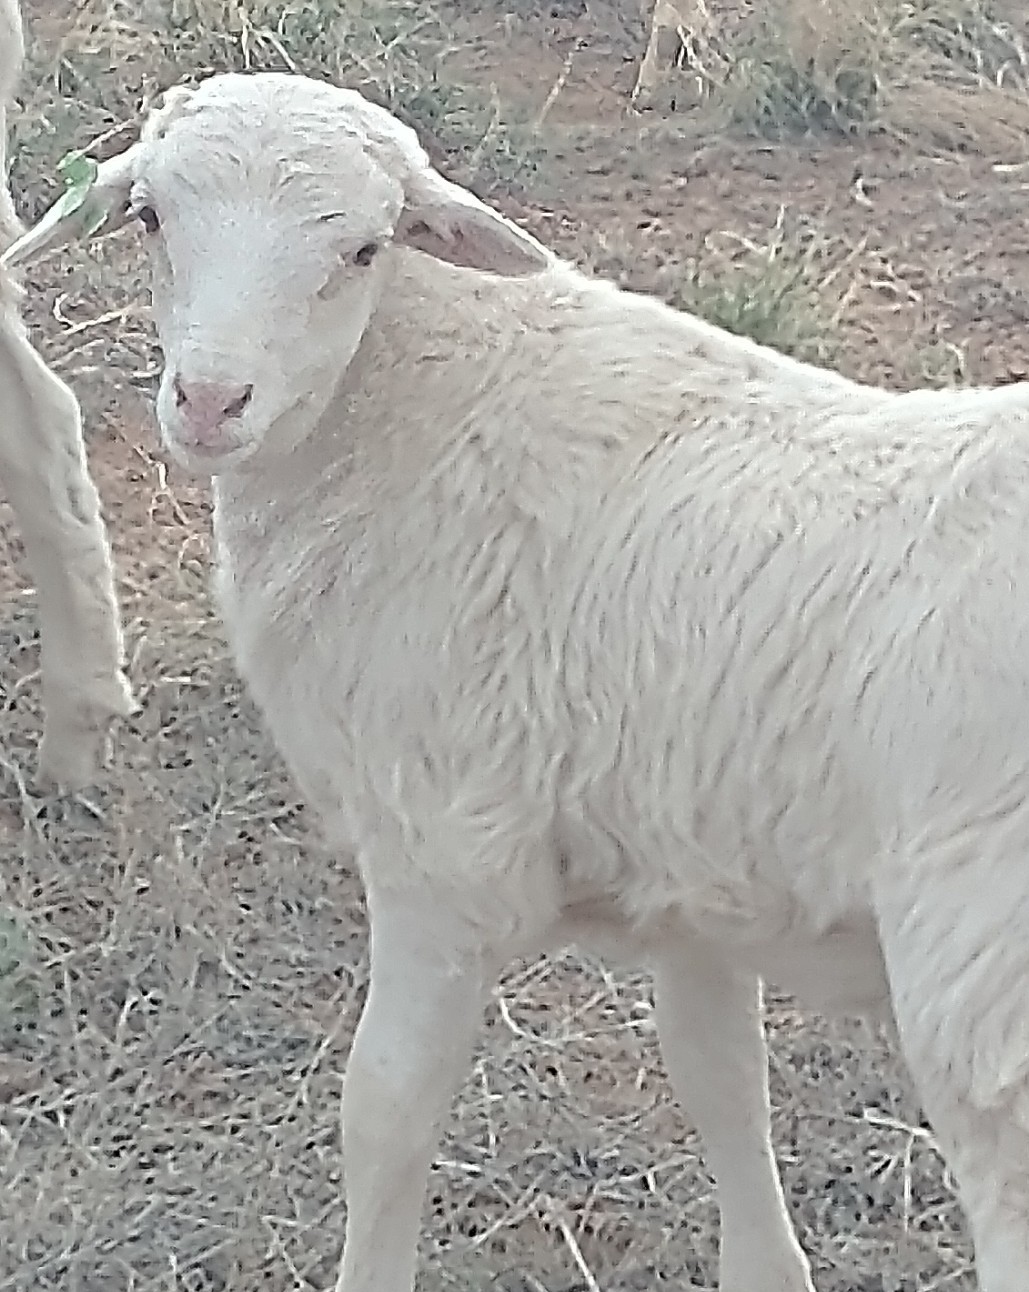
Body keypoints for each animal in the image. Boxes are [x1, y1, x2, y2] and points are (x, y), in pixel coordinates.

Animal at [9, 68, 1029, 1292]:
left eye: (363, 250)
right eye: (151, 217)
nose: (210, 402)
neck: (417, 411)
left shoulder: (443, 859)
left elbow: (384, 1109)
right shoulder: (694, 864)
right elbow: (721, 1079)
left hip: (984, 1010)